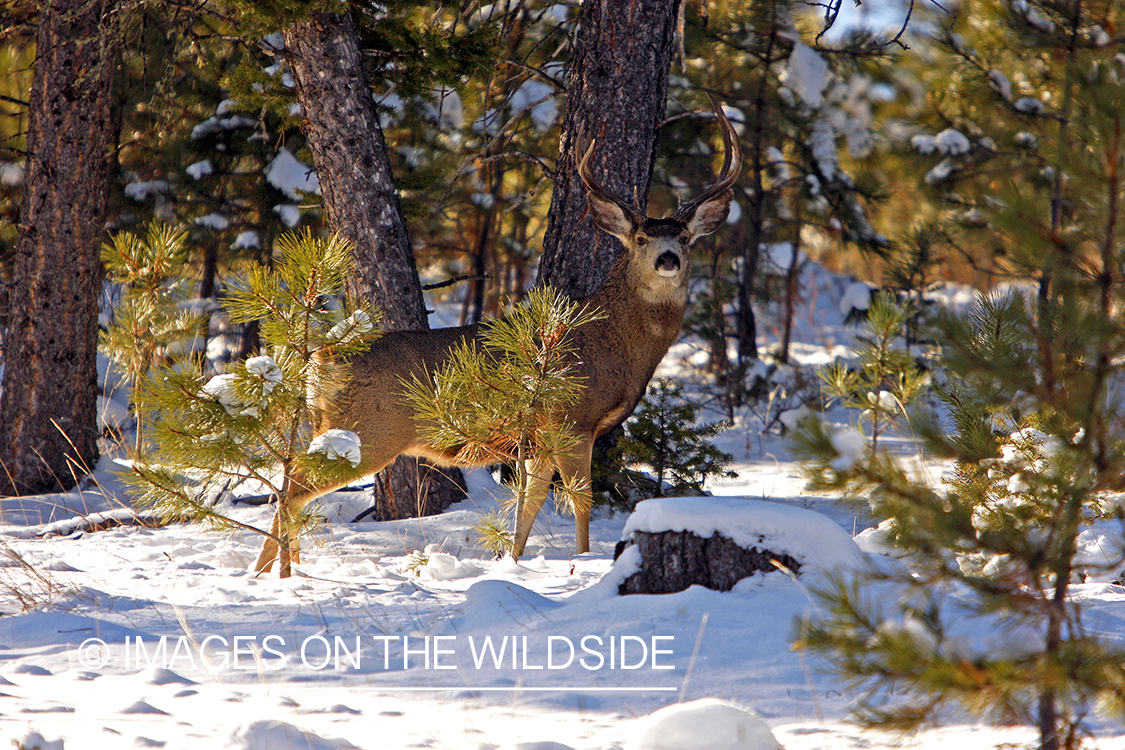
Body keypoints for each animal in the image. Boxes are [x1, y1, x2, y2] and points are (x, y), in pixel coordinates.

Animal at [254, 98, 741, 575]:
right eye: (640, 238)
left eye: (685, 236)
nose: (667, 258)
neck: (616, 341)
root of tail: (321, 358)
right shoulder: (573, 419)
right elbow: (579, 499)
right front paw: (583, 562)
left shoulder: (541, 436)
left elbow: (531, 500)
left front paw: (513, 560)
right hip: (369, 431)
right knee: (293, 489)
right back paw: (280, 573)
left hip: (333, 426)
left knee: (289, 483)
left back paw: (270, 571)